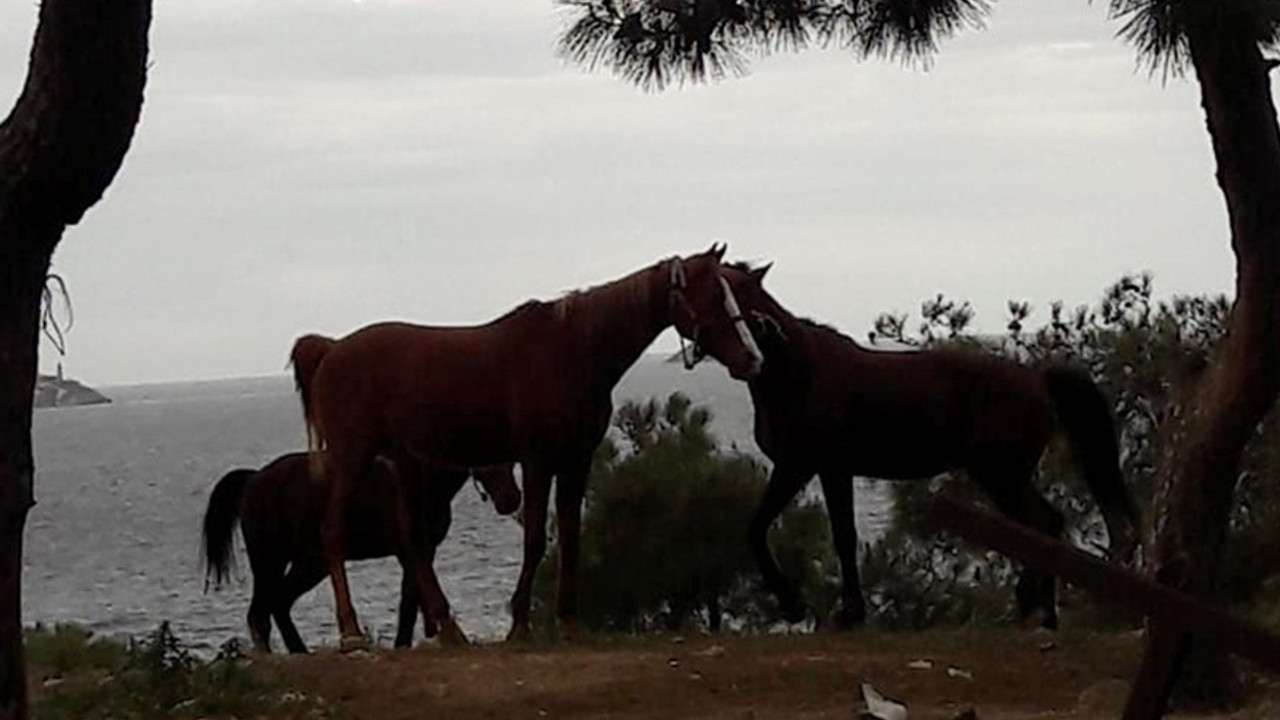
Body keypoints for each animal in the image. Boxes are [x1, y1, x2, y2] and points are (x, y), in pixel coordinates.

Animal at [200, 450, 519, 653]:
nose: (511, 500)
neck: (419, 482)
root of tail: (255, 479)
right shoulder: (410, 551)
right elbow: (413, 600)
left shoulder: (423, 552)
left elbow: (410, 600)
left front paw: (404, 643)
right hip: (269, 561)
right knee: (260, 614)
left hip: (309, 564)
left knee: (278, 604)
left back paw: (299, 650)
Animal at [294, 242, 762, 645]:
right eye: (714, 296)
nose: (753, 358)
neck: (574, 351)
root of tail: (332, 351)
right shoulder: (538, 460)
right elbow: (535, 538)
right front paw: (519, 624)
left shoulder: (576, 460)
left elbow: (571, 537)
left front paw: (569, 622)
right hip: (353, 458)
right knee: (334, 532)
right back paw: (351, 632)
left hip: (404, 460)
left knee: (413, 540)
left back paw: (450, 629)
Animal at [721, 262, 1141, 627]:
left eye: (735, 290)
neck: (798, 371)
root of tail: (1038, 380)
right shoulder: (808, 469)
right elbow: (781, 527)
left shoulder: (812, 466)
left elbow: (835, 534)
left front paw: (840, 612)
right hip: (1002, 476)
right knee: (1038, 526)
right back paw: (1037, 610)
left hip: (1001, 474)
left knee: (1044, 523)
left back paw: (1041, 612)